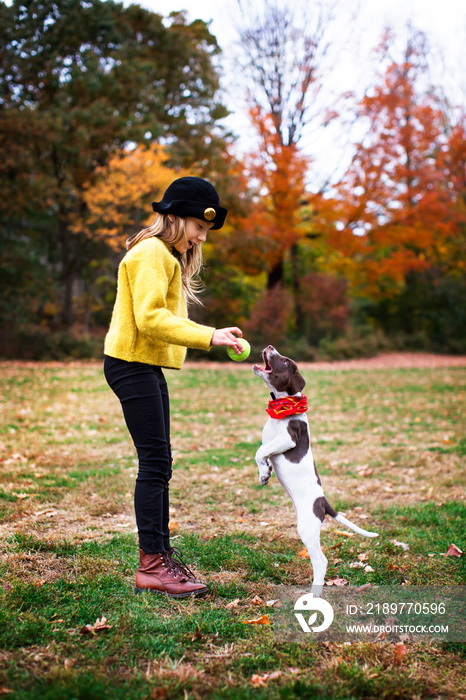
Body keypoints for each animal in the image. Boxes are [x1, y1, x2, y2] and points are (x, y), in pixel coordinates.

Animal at [253, 344, 376, 596]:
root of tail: (323, 502)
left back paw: (315, 596)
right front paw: (265, 472)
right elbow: (261, 452)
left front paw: (264, 473)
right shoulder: (272, 440)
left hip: (307, 528)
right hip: (308, 525)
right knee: (322, 559)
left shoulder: (287, 440)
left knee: (320, 562)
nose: (269, 346)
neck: (285, 406)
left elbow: (260, 451)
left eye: (285, 361)